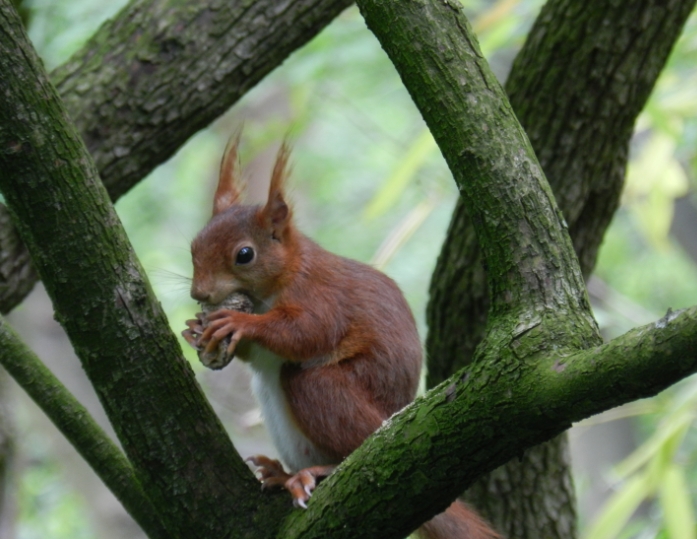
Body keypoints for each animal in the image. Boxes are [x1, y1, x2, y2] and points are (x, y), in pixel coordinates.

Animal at [182, 138, 498, 539]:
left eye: (244, 255)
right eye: (194, 246)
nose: (199, 293)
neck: (274, 286)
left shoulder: (321, 296)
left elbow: (308, 333)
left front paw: (239, 321)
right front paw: (194, 328)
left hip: (332, 395)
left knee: (322, 406)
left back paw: (315, 473)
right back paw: (282, 475)